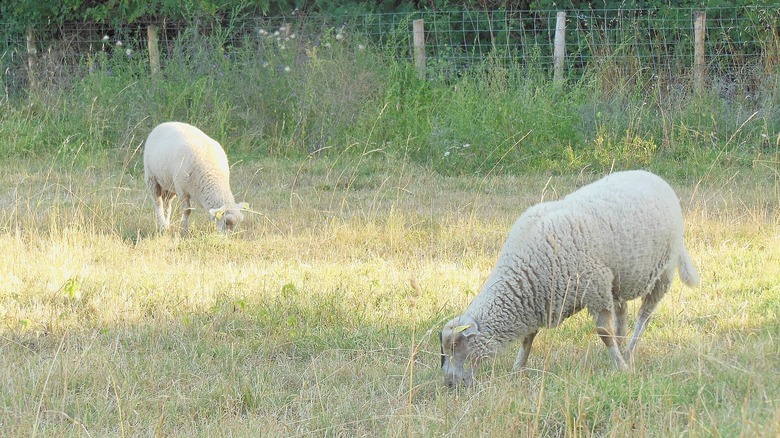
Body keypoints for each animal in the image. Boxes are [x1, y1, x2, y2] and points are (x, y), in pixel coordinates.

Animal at [440, 170, 700, 386]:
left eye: (455, 346)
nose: (449, 384)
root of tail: (653, 176)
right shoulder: (544, 299)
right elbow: (528, 338)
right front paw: (518, 368)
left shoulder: (594, 288)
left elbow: (603, 333)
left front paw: (620, 368)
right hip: (615, 279)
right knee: (622, 311)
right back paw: (622, 343)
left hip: (663, 272)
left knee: (645, 315)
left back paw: (628, 352)